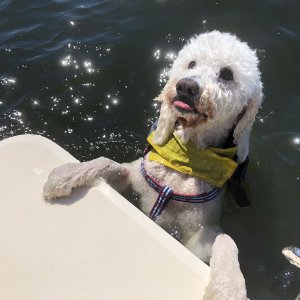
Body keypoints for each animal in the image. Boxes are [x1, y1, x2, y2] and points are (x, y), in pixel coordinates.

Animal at [43, 31, 262, 264]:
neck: (182, 161)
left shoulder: (200, 231)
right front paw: (61, 177)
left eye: (227, 74)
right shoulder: (132, 177)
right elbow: (107, 163)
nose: (186, 86)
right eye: (191, 64)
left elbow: (218, 242)